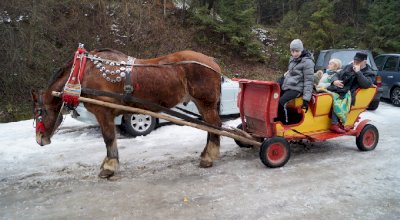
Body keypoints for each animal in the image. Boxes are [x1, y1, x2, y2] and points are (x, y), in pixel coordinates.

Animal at [32, 47, 222, 177]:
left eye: (39, 112)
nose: (40, 139)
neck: (83, 73)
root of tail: (212, 62)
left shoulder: (103, 112)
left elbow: (109, 138)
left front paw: (109, 167)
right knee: (210, 127)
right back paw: (206, 154)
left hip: (206, 102)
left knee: (215, 125)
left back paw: (208, 158)